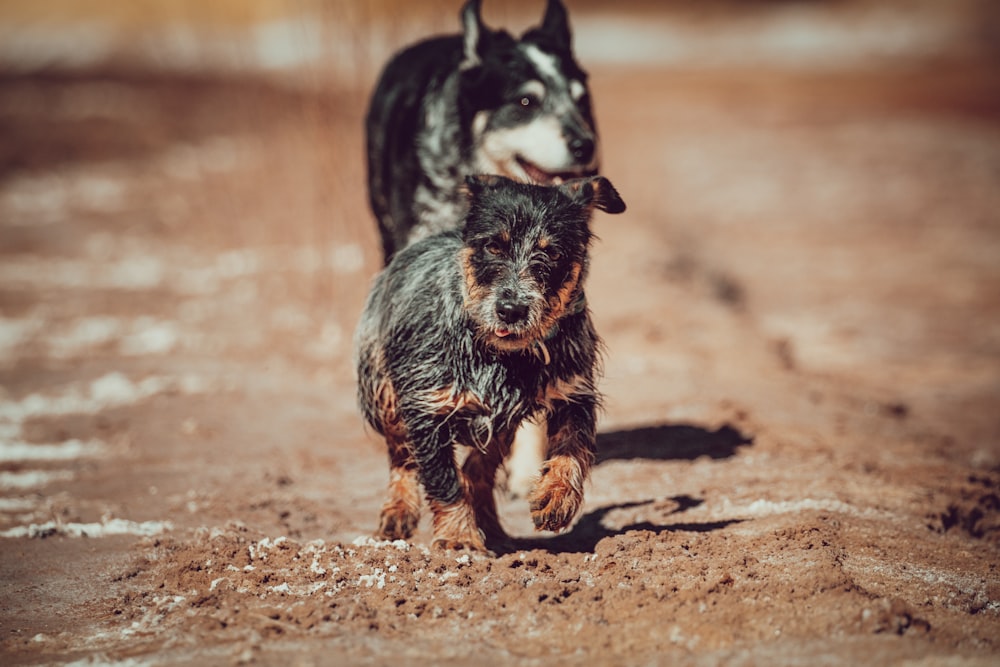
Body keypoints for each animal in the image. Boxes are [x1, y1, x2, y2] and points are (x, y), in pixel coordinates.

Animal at [356, 174, 624, 552]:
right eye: (493, 246)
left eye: (552, 252)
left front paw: (556, 496)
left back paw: (490, 522)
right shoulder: (426, 406)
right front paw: (458, 539)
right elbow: (443, 479)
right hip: (383, 391)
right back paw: (399, 511)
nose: (511, 310)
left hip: (502, 423)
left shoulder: (573, 392)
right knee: (402, 455)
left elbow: (575, 445)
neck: (500, 356)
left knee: (478, 468)